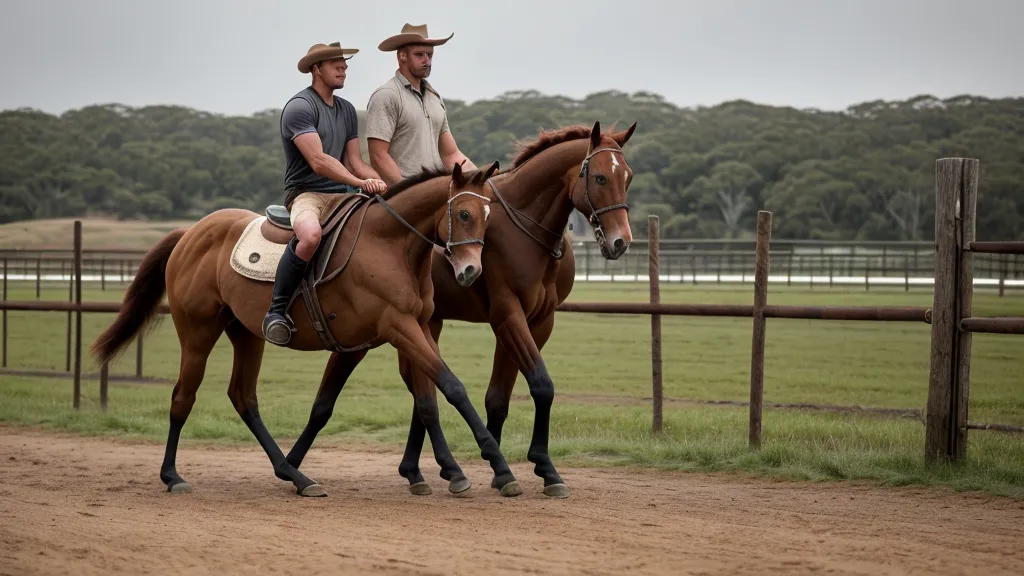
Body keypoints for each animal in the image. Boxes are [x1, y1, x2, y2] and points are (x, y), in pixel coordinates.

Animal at [89, 161, 527, 498]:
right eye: (464, 215)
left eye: (488, 218)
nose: (470, 271)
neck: (390, 244)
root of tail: (192, 233)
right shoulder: (399, 327)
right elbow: (451, 387)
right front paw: (497, 465)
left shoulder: (414, 328)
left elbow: (427, 400)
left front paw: (456, 471)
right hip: (198, 334)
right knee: (184, 397)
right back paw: (173, 476)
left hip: (246, 334)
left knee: (243, 398)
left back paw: (295, 475)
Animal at [282, 120, 637, 497]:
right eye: (600, 177)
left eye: (627, 177)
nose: (620, 241)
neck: (525, 230)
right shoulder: (508, 316)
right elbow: (541, 385)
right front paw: (540, 467)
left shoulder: (539, 321)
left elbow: (499, 396)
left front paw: (502, 467)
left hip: (424, 324)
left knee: (419, 389)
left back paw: (417, 470)